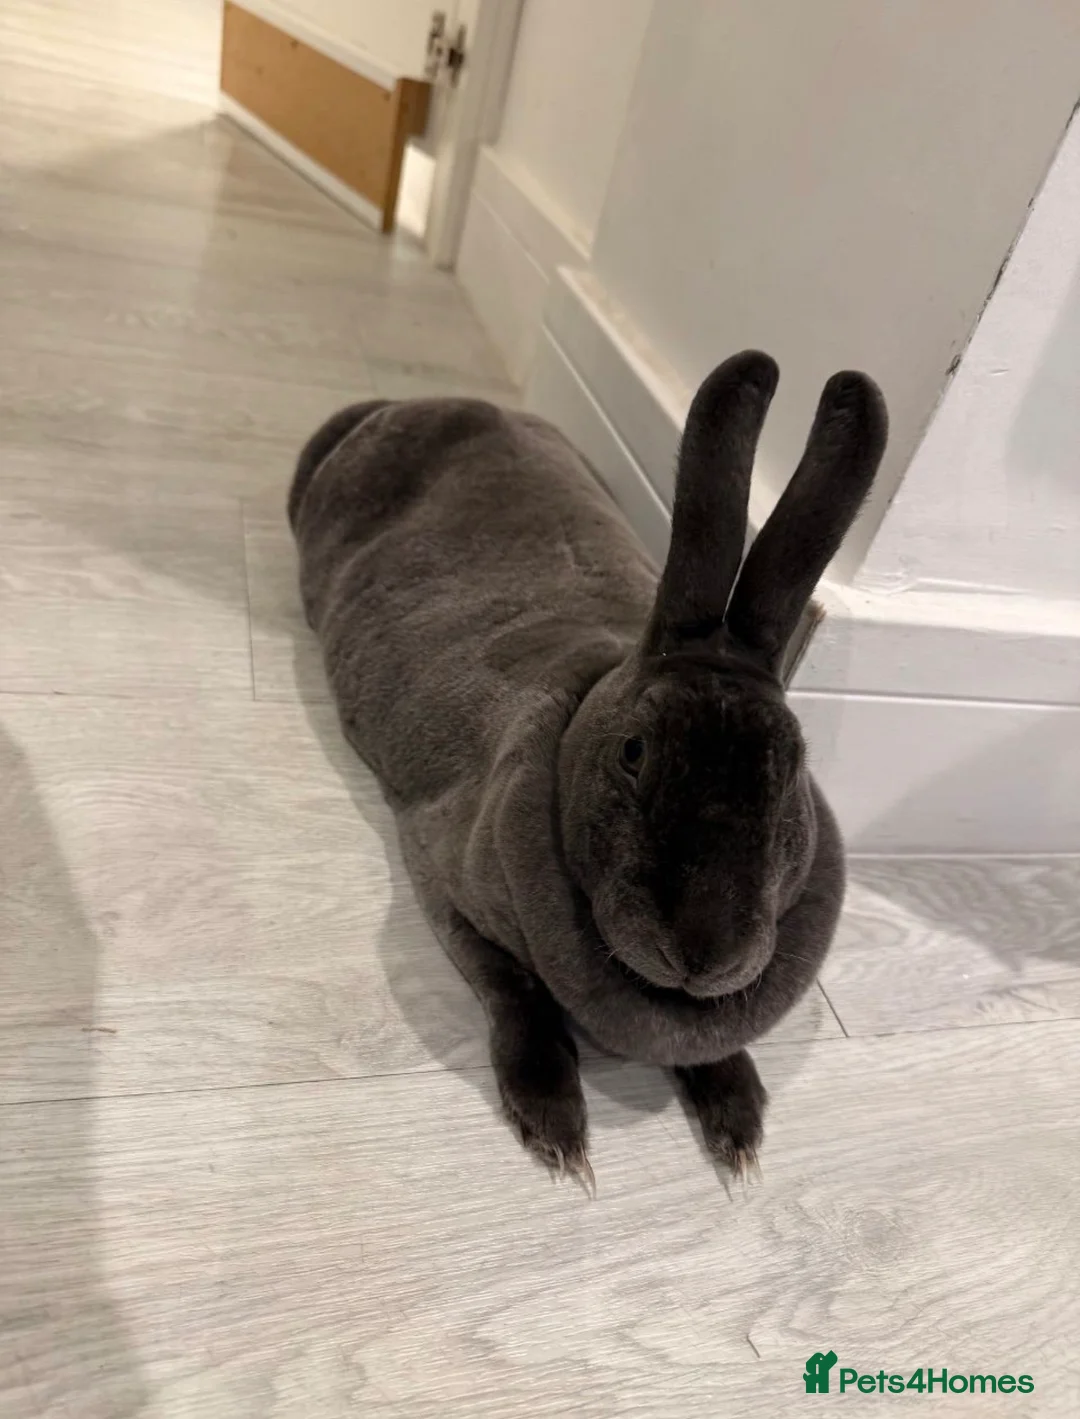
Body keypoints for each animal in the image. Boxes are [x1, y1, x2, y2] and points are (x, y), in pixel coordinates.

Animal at [289, 350, 888, 1188]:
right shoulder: (448, 885)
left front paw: (741, 1132)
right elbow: (521, 997)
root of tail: (419, 403)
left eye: (792, 765)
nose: (703, 954)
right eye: (634, 753)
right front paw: (559, 1133)